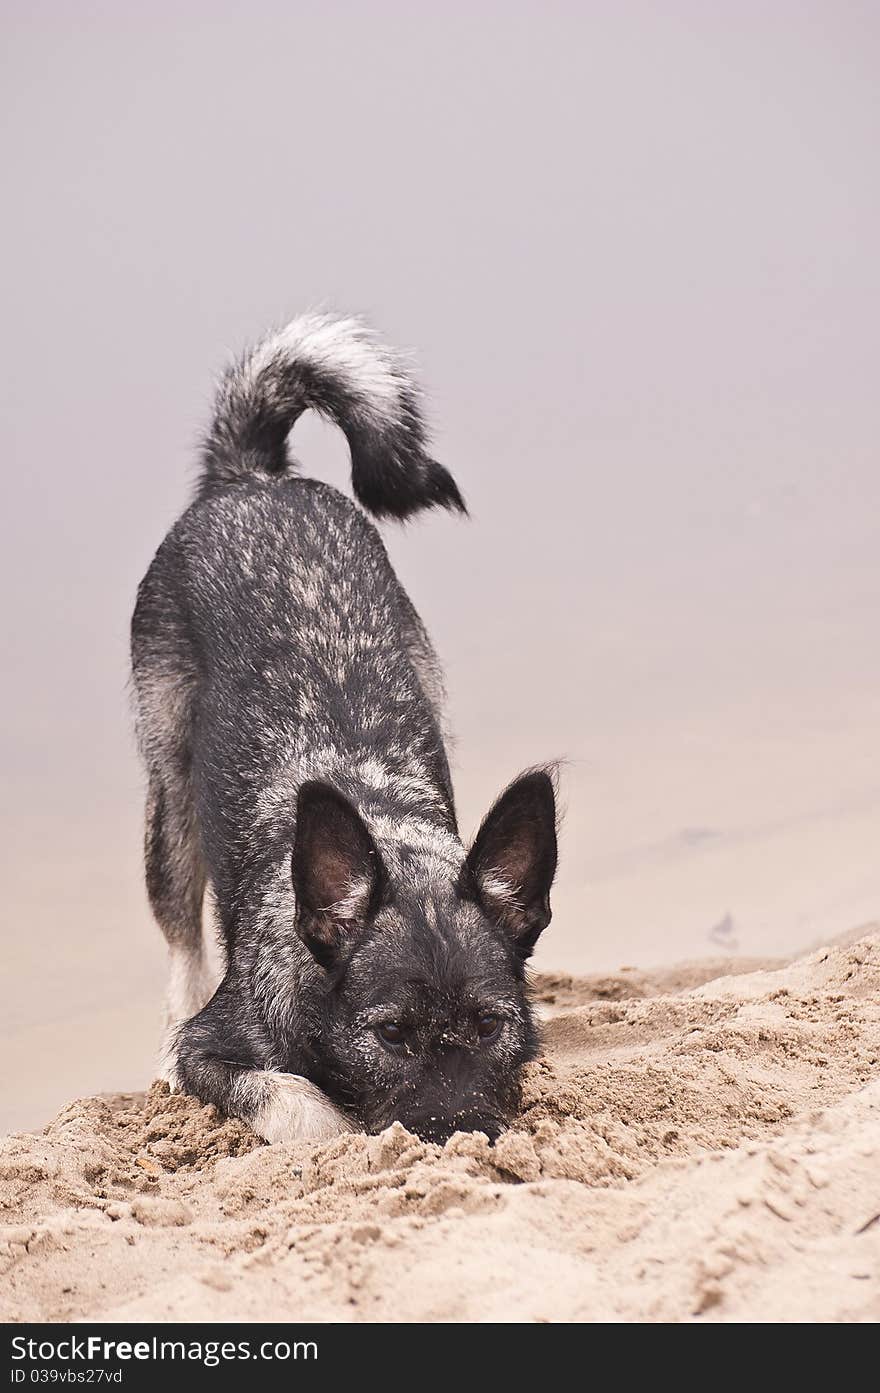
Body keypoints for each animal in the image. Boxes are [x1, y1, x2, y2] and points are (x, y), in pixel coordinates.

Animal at [130, 316, 556, 1142]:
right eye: (390, 1033)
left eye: (490, 1025)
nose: (462, 1133)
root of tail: (249, 480)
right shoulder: (217, 1045)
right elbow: (296, 1102)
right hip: (169, 799)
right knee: (180, 937)